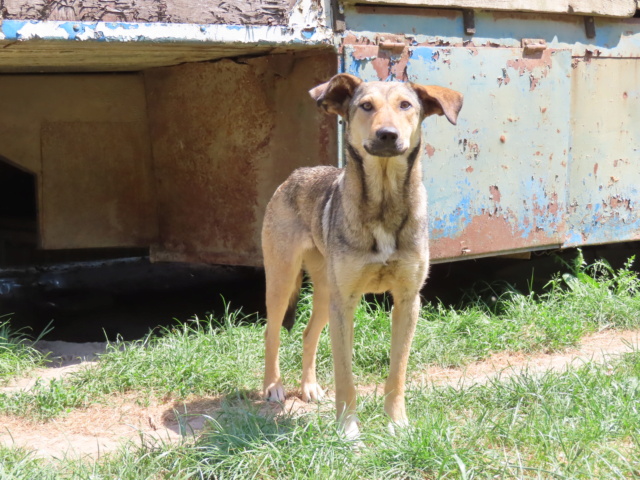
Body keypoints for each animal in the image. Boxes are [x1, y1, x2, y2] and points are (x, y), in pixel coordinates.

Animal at [262, 72, 462, 438]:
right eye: (366, 106)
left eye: (406, 105)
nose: (387, 135)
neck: (383, 201)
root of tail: (296, 174)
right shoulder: (346, 303)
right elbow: (345, 375)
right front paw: (347, 429)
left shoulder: (407, 300)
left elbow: (397, 373)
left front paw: (397, 424)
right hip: (282, 281)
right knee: (271, 334)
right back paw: (273, 387)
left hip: (326, 290)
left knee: (308, 334)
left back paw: (309, 387)